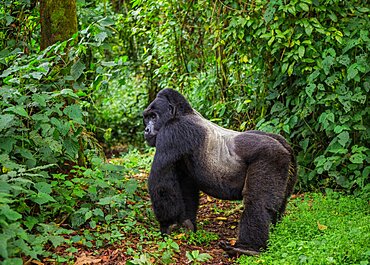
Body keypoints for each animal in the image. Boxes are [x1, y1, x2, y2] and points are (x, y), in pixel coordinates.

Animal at [142, 88, 298, 256]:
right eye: (146, 118)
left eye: (153, 117)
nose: (146, 130)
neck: (181, 113)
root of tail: (285, 147)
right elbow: (186, 187)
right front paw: (187, 224)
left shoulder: (172, 132)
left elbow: (161, 183)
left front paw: (168, 225)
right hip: (288, 163)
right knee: (279, 202)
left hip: (272, 156)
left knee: (257, 202)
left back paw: (247, 248)